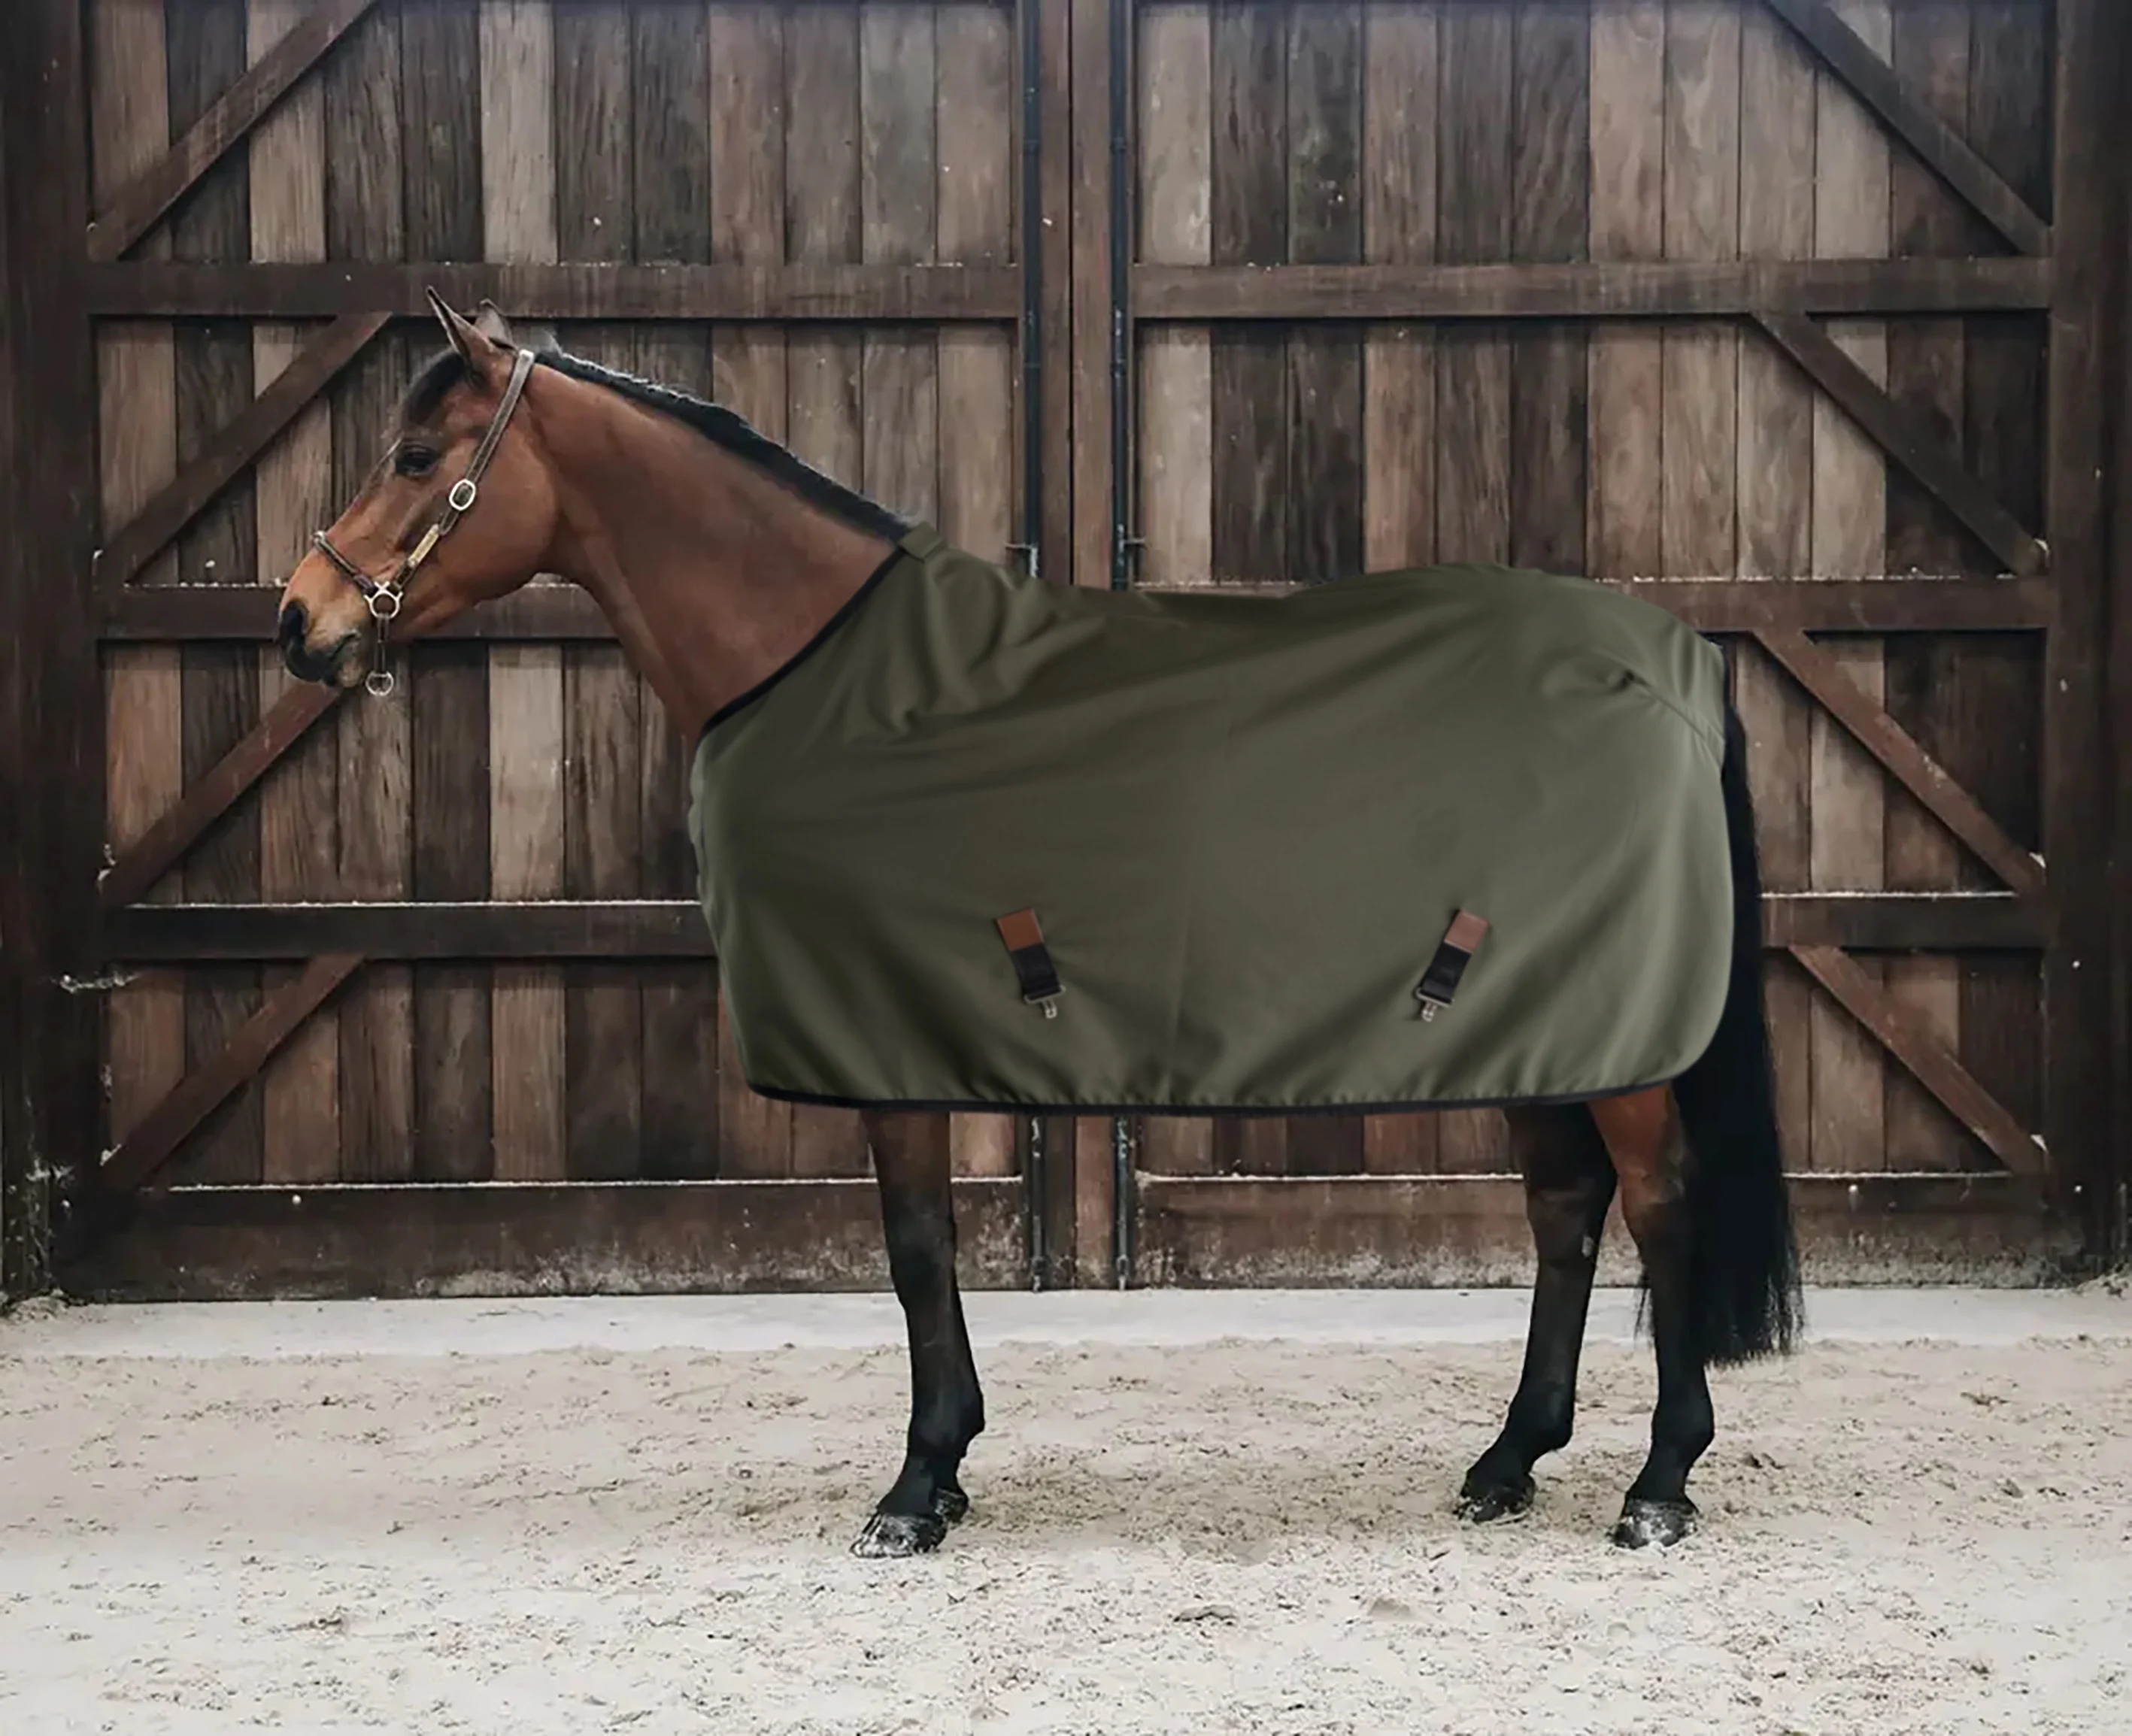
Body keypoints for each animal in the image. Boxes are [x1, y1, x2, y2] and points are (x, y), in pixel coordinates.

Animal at [277, 290, 1802, 1558]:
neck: (817, 666)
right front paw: (944, 1470)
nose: (299, 620)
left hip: (1609, 1034)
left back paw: (1657, 1483)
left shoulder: (884, 1034)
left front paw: (915, 1487)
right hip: (1539, 1019)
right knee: (1564, 1209)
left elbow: (914, 1251)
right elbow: (932, 1249)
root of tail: (1676, 661)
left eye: (415, 456)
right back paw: (1506, 1460)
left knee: (1657, 1207)